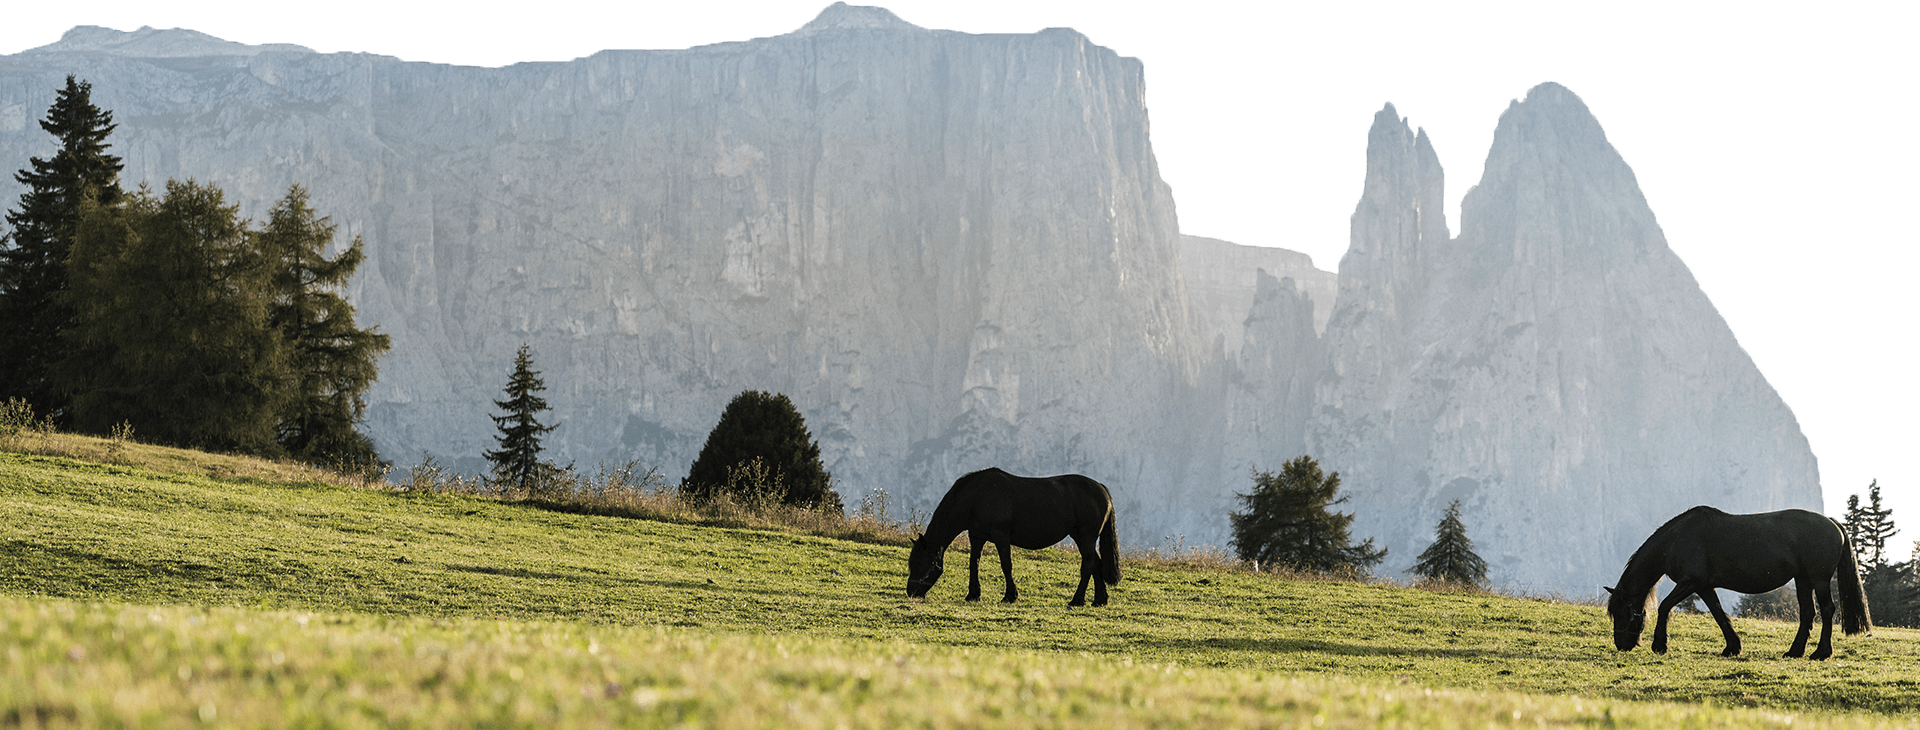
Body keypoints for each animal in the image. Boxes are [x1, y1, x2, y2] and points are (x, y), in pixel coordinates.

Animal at [902, 466, 1121, 603]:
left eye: (922, 563)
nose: (911, 592)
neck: (977, 496)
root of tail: (1102, 489)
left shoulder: (1001, 537)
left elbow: (1006, 565)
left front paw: (1010, 596)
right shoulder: (976, 536)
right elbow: (974, 563)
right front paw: (973, 594)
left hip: (1085, 537)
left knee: (1089, 564)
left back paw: (1077, 600)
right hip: (1082, 538)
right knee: (1096, 563)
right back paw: (1099, 600)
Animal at [1597, 507, 1866, 660]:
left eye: (1621, 613)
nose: (1621, 644)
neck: (1677, 539)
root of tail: (1833, 523)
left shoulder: (1689, 583)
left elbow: (1665, 607)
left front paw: (1660, 645)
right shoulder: (1704, 587)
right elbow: (1719, 614)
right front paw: (1732, 647)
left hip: (1818, 580)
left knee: (1827, 610)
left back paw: (1821, 653)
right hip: (1803, 580)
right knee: (1808, 612)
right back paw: (1794, 652)